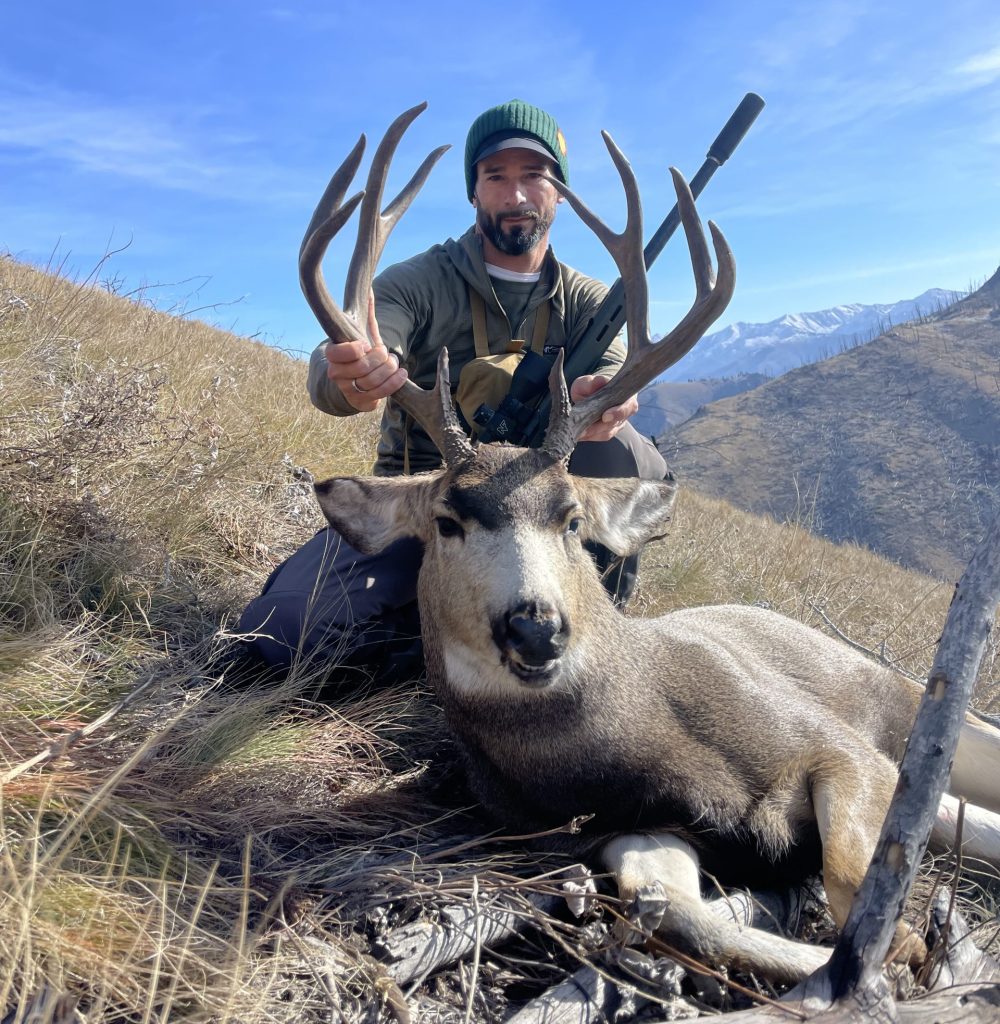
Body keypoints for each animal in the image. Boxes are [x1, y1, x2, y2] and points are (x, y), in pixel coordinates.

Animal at [301, 104, 1000, 983]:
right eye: (447, 522)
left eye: (571, 519)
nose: (536, 627)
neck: (632, 734)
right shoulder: (626, 828)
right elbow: (676, 913)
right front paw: (853, 966)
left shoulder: (842, 750)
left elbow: (847, 876)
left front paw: (898, 948)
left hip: (923, 706)